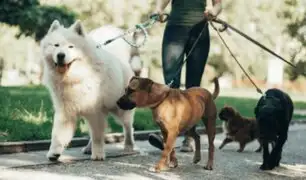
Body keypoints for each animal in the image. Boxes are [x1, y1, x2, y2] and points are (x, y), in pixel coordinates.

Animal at [40, 19, 135, 160]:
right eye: (56, 45)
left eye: (71, 47)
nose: (61, 55)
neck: (75, 77)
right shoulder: (65, 111)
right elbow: (58, 135)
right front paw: (54, 153)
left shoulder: (95, 110)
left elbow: (97, 136)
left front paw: (98, 154)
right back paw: (89, 148)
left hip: (120, 109)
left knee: (128, 127)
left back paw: (129, 146)